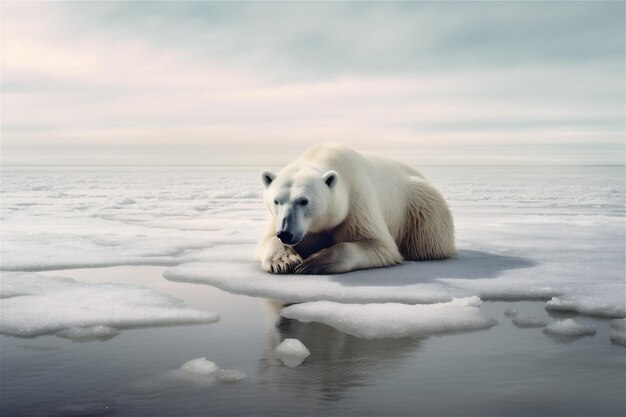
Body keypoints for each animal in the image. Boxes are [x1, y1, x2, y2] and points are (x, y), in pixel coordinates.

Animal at [254, 141, 454, 274]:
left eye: (303, 201)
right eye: (277, 201)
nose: (286, 233)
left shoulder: (356, 197)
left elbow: (379, 244)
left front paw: (315, 262)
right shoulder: (276, 219)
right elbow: (267, 239)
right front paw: (283, 261)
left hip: (420, 204)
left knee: (428, 240)